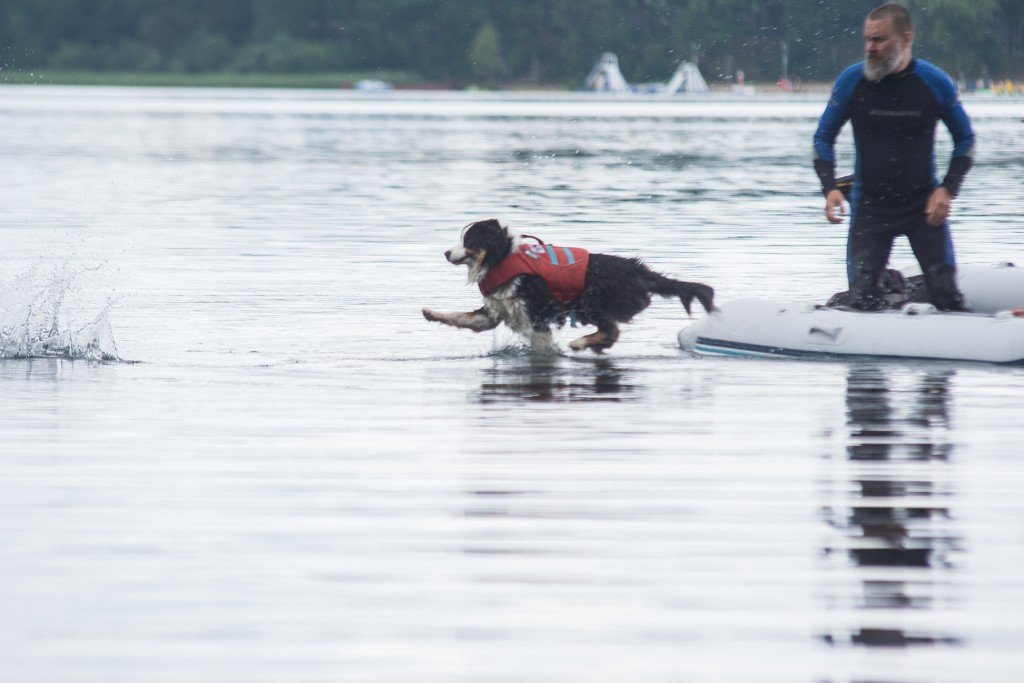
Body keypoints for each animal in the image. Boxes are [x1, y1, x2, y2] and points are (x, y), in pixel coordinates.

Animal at [422, 219, 715, 353]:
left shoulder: (537, 315)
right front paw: (430, 313)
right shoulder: (494, 312)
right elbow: (460, 317)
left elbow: (542, 346)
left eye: (469, 241)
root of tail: (638, 268)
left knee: (611, 330)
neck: (502, 259)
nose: (446, 253)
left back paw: (580, 343)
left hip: (590, 300)